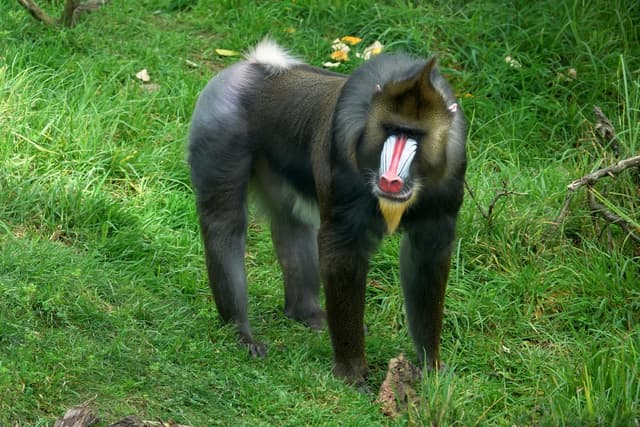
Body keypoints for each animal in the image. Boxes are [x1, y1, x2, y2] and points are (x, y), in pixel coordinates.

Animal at [188, 39, 466, 384]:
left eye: (415, 134)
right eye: (391, 128)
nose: (389, 179)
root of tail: (251, 68)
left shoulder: (446, 192)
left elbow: (426, 262)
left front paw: (432, 369)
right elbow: (341, 253)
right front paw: (352, 372)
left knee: (292, 223)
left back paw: (308, 313)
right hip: (221, 131)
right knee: (224, 226)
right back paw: (240, 333)